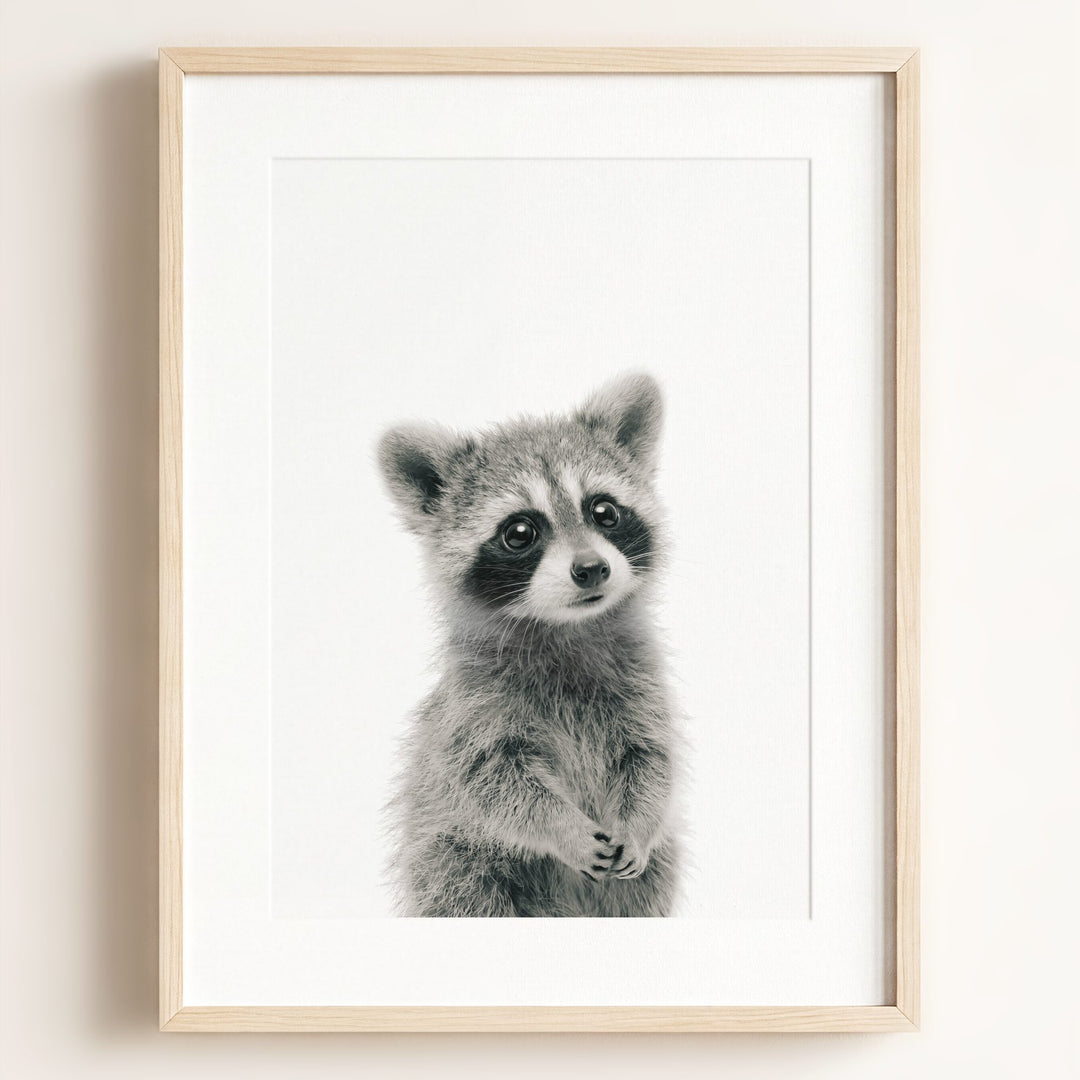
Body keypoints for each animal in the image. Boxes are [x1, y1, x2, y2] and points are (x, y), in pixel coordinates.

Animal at [377, 373, 681, 917]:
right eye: (520, 531)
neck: (565, 627)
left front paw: (639, 822)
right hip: (455, 860)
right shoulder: (473, 709)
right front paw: (564, 829)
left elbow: (651, 758)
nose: (591, 568)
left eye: (604, 510)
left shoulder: (642, 686)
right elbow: (495, 782)